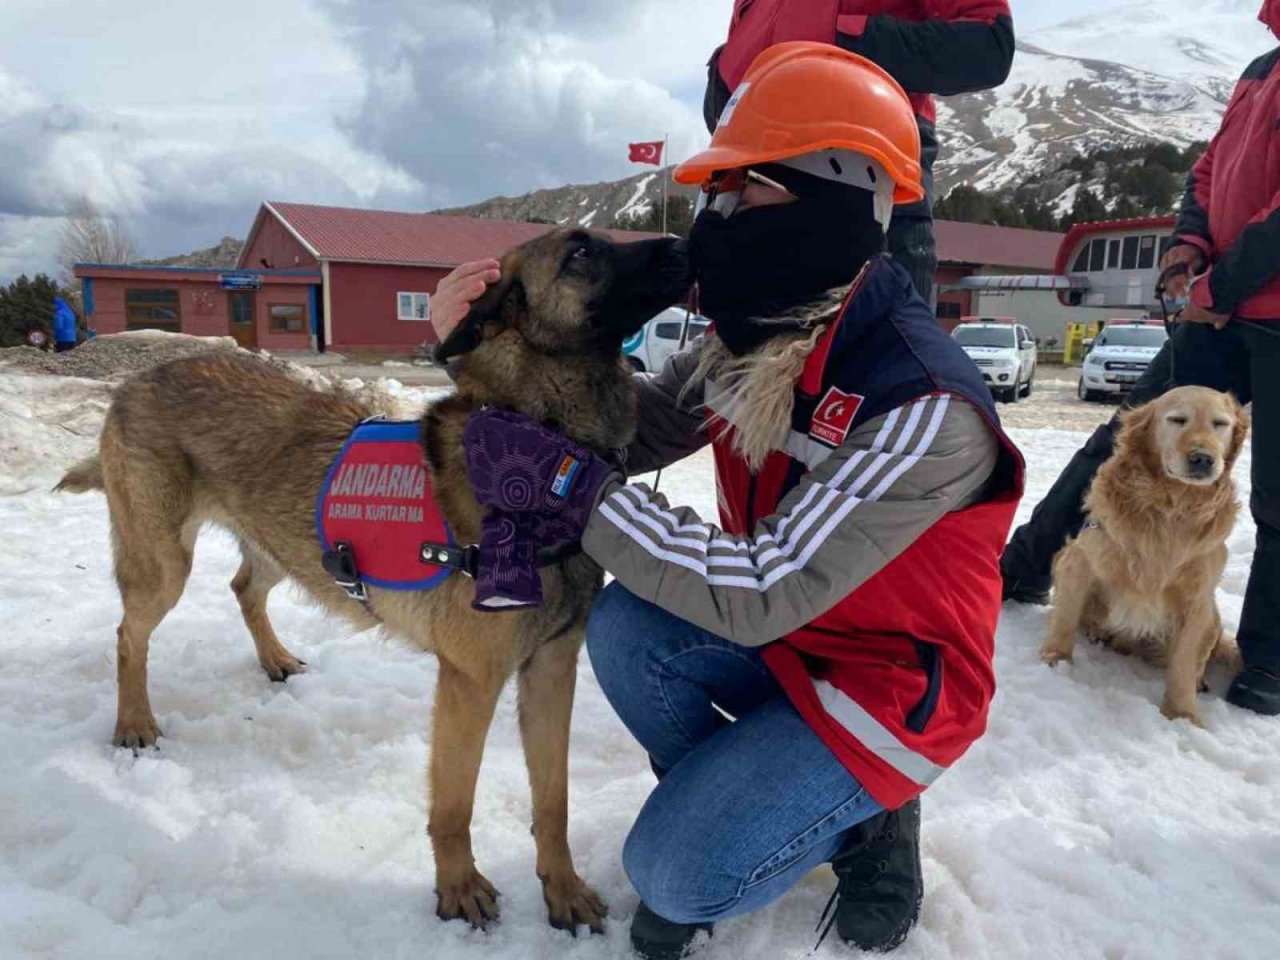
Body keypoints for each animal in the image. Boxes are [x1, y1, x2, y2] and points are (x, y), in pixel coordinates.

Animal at [62, 229, 691, 936]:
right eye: (581, 253)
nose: (682, 243)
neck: (546, 438)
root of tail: (136, 380)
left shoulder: (552, 671)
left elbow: (552, 801)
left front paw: (563, 891)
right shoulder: (470, 683)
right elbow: (454, 806)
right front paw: (457, 891)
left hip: (283, 540)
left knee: (244, 587)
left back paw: (274, 659)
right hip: (164, 564)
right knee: (129, 635)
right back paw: (135, 723)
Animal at [1044, 384, 1244, 721]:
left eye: (1220, 423)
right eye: (1177, 420)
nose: (1203, 458)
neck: (1173, 506)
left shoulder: (1198, 598)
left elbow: (1184, 663)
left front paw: (1181, 714)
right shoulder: (1079, 560)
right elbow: (1064, 619)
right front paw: (1055, 660)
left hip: (1213, 618)